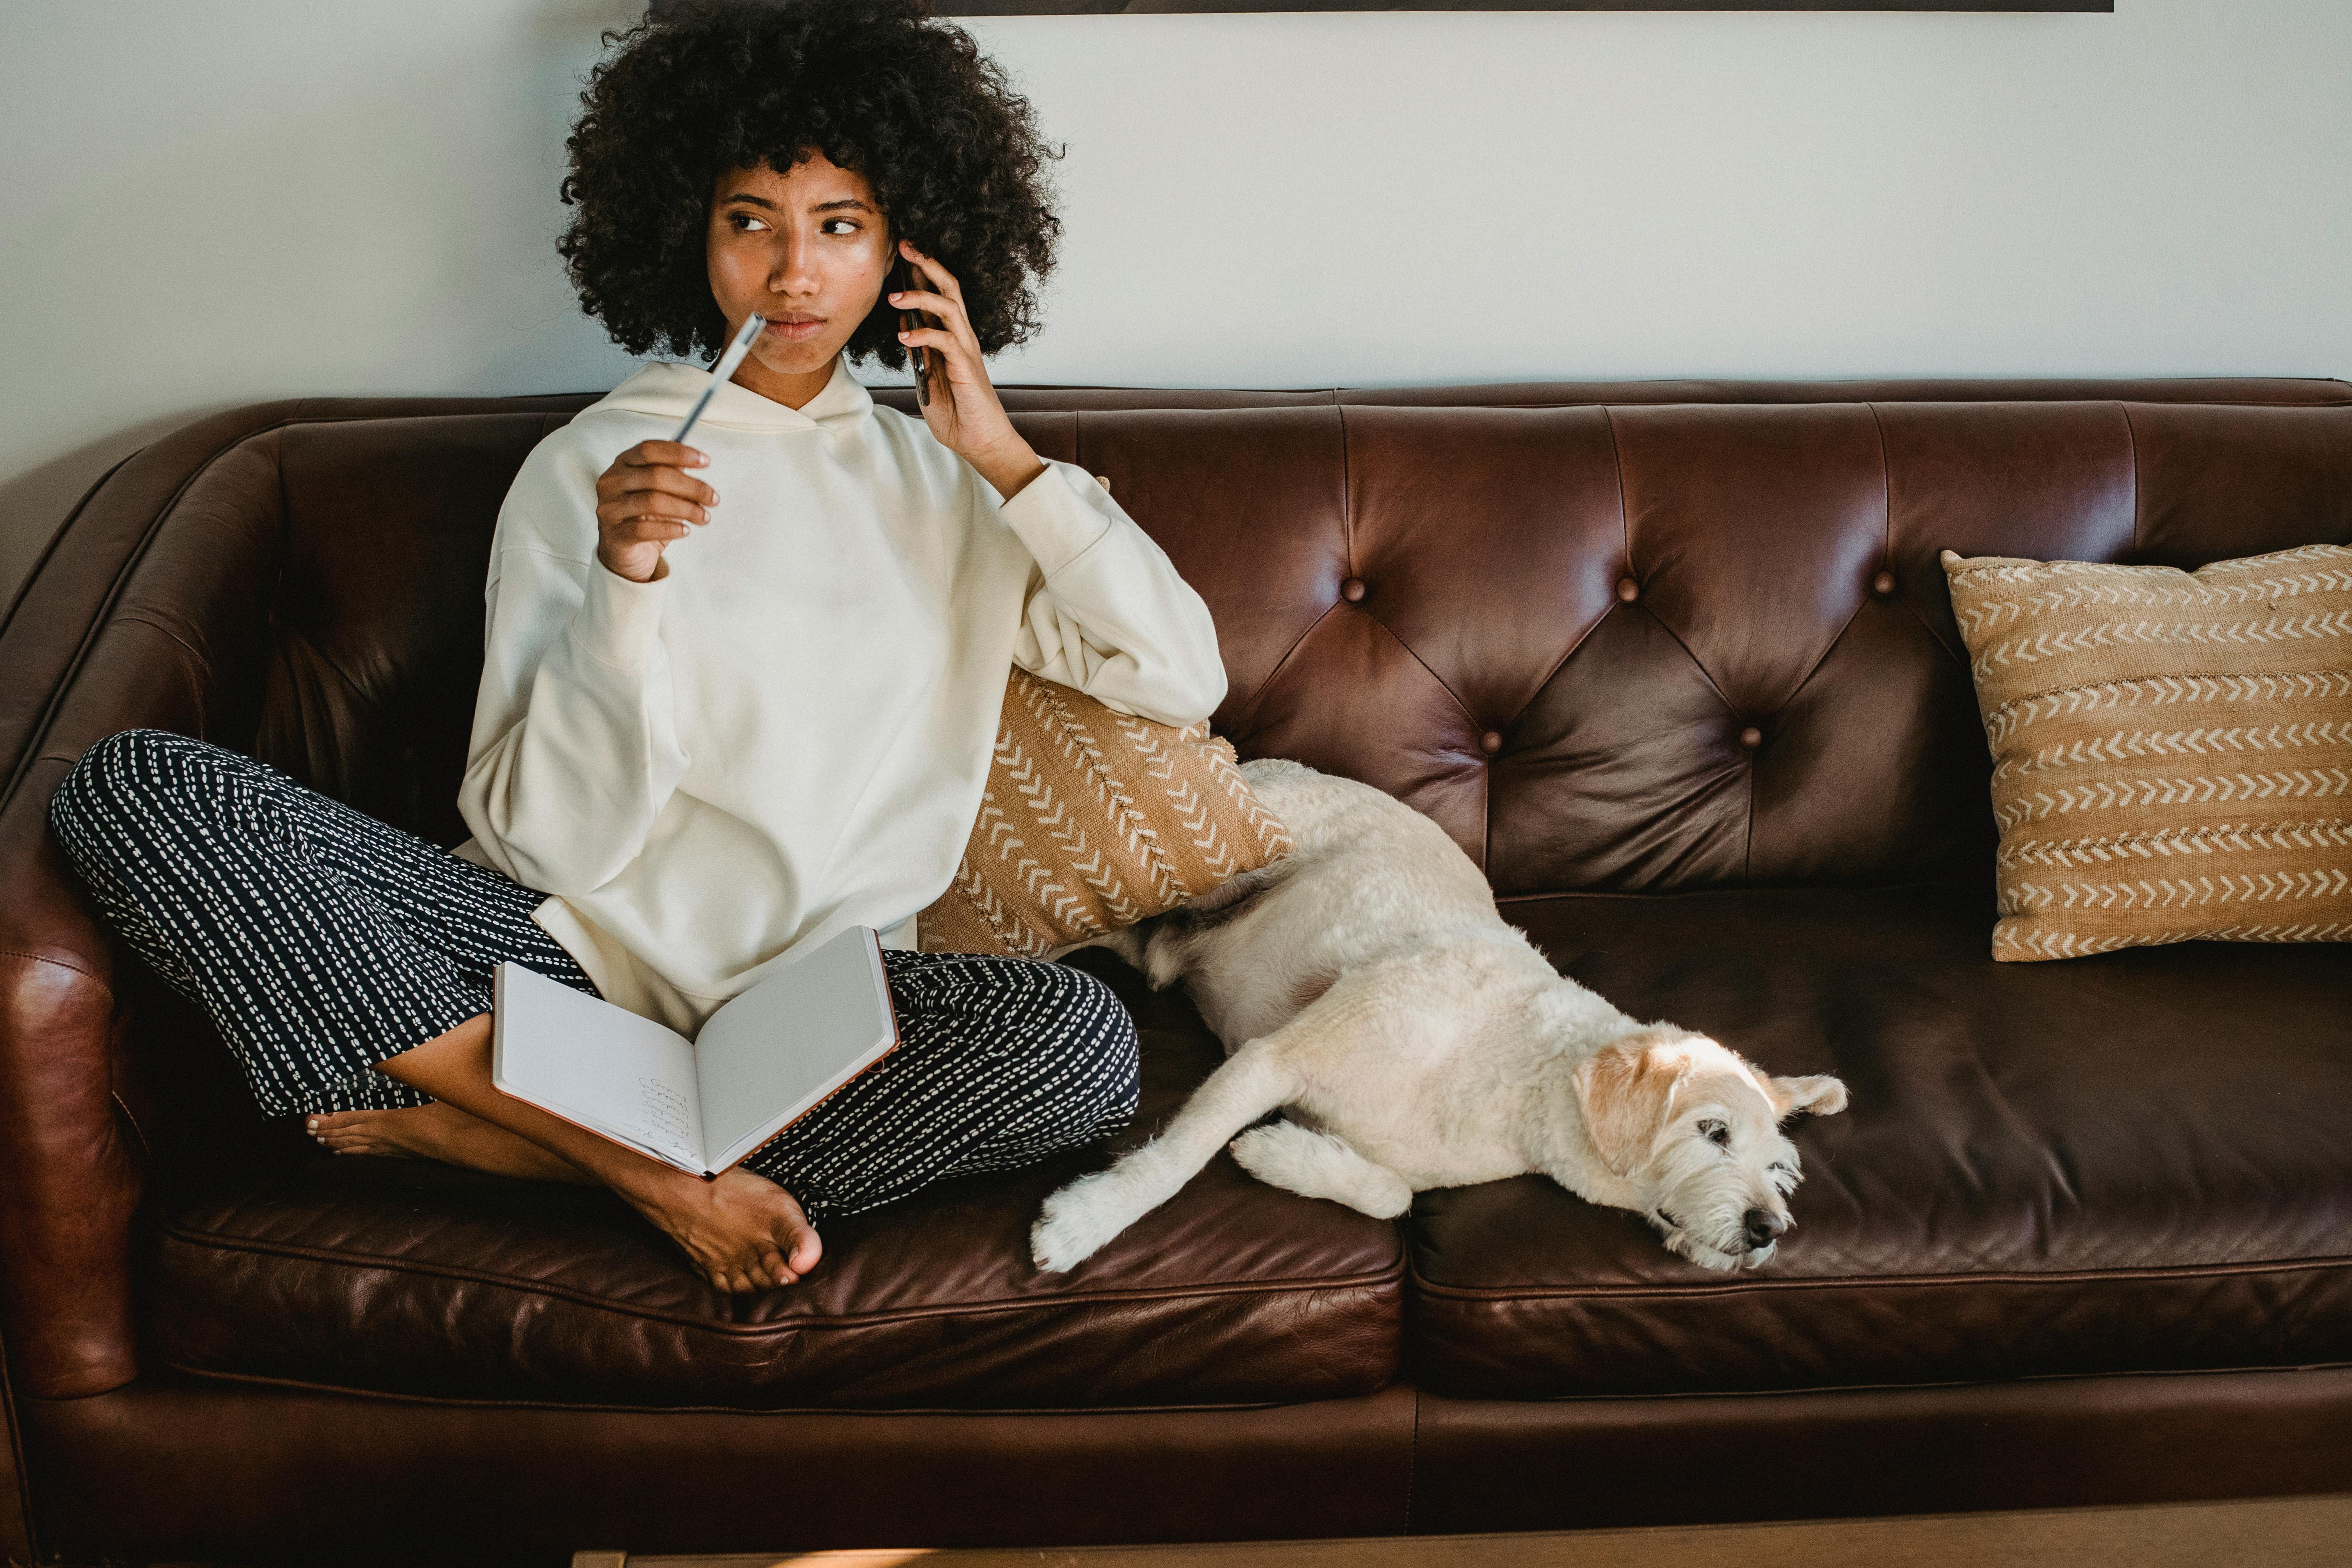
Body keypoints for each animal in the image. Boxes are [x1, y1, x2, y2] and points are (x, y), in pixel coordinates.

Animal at [1039, 762, 1844, 1279]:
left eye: (1778, 1169)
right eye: (1712, 1130)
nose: (1768, 1228)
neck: (1519, 1070)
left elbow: (1392, 1193)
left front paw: (1282, 1154)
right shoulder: (1272, 1056)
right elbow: (1175, 1160)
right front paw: (1087, 1220)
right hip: (1198, 876)